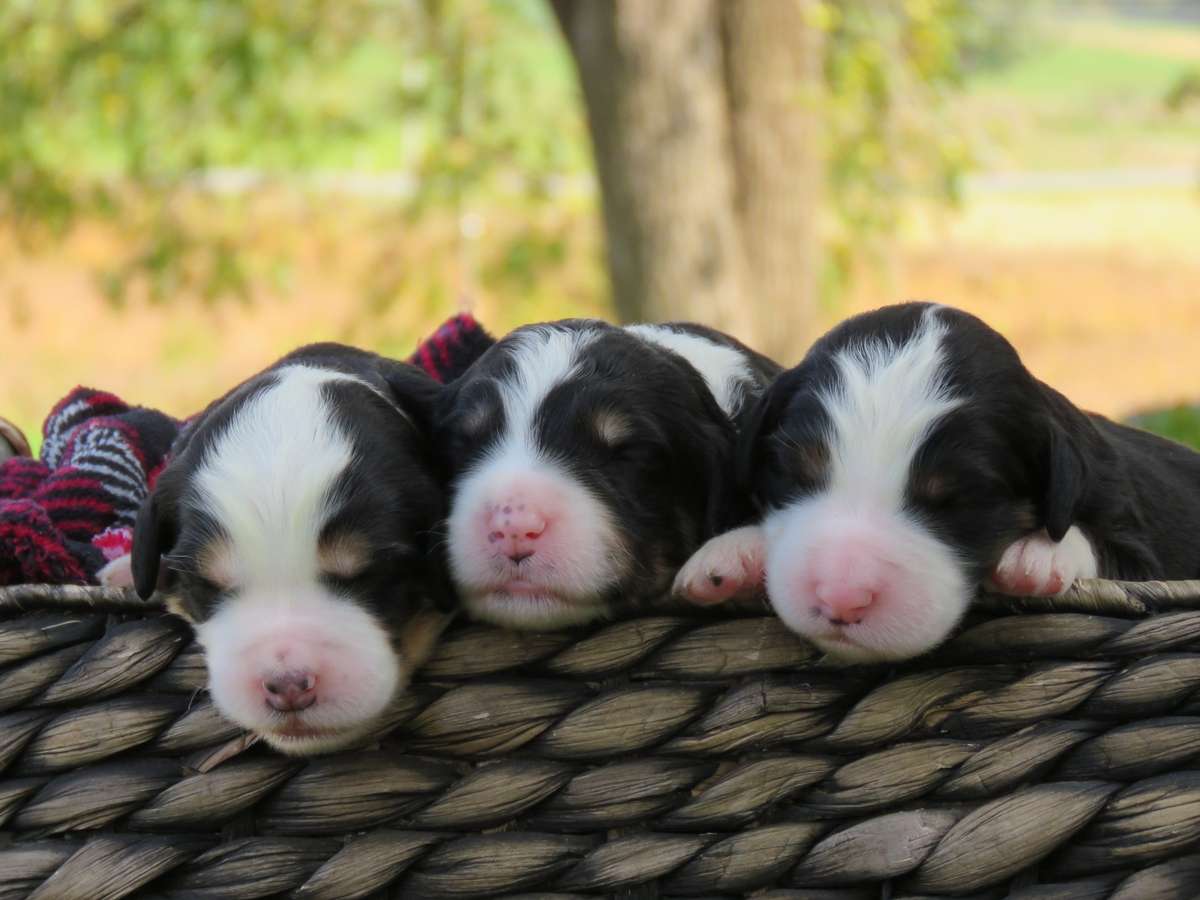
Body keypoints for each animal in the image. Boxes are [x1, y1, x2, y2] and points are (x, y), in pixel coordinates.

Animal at [681, 307, 1200, 667]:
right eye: (792, 472)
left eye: (960, 500)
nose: (841, 598)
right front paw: (732, 554)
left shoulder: (1135, 537)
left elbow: (1100, 547)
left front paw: (1039, 555)